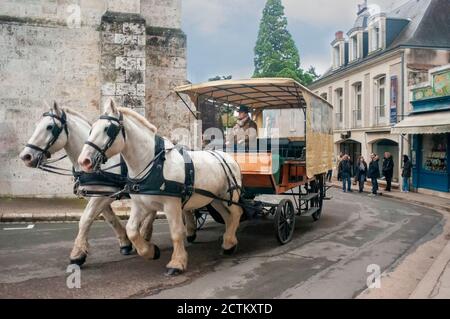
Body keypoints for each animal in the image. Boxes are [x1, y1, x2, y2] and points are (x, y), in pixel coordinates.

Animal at [19, 102, 155, 264]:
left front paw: (77, 254)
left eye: (50, 127)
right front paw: (125, 243)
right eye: (37, 124)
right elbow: (110, 219)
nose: (25, 156)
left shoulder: (103, 196)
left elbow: (85, 219)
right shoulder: (97, 195)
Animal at [79, 101, 244, 276]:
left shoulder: (172, 204)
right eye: (91, 128)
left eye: (108, 129)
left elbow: (177, 232)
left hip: (229, 196)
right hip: (214, 199)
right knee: (228, 217)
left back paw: (229, 243)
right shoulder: (140, 204)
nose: (84, 161)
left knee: (236, 213)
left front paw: (177, 263)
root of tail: (227, 157)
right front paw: (151, 251)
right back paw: (229, 243)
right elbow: (131, 230)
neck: (153, 164)